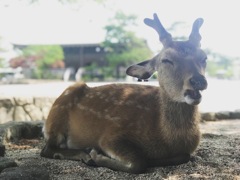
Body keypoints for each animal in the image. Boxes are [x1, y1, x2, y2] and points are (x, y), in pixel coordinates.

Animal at [40, 13, 207, 174]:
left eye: (204, 57)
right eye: (166, 60)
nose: (198, 80)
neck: (168, 139)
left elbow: (185, 156)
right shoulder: (111, 135)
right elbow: (138, 163)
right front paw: (96, 155)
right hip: (58, 113)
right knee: (46, 149)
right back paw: (85, 154)